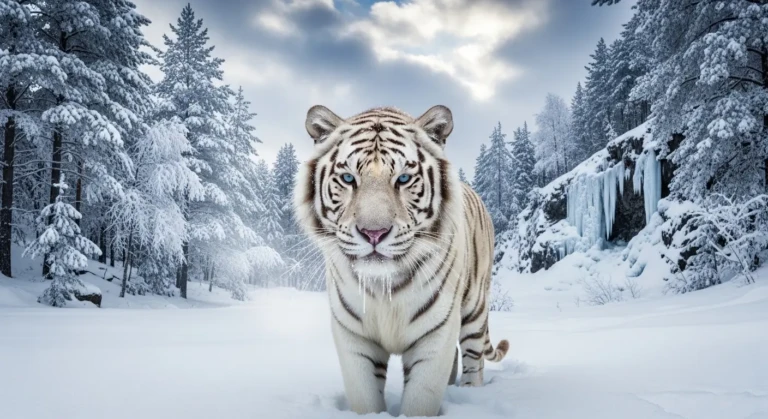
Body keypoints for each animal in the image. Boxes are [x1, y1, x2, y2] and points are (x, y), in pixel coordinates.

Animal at [293, 104, 509, 417]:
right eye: (348, 179)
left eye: (404, 179)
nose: (374, 233)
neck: (384, 287)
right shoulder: (354, 338)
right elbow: (366, 399)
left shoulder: (436, 336)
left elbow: (420, 400)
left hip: (475, 306)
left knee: (473, 354)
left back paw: (471, 393)